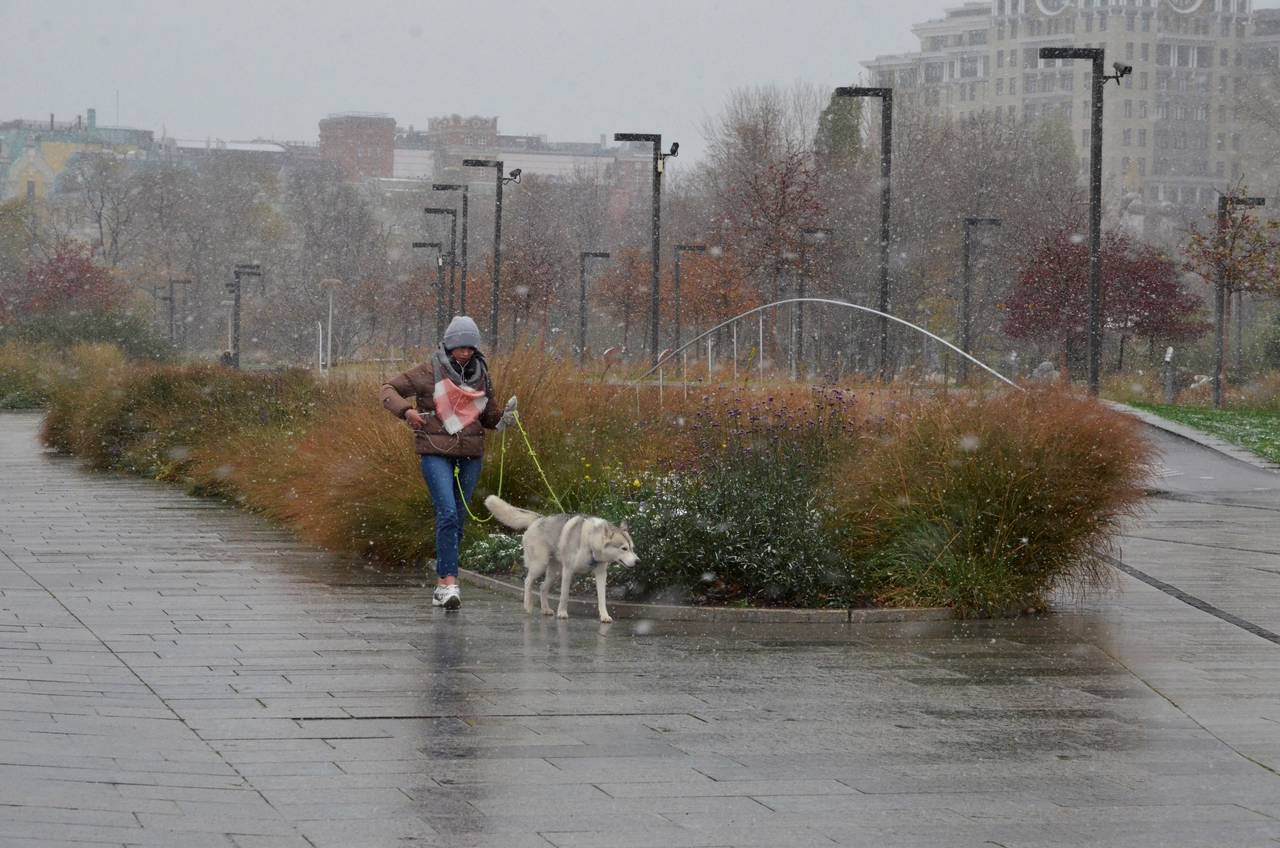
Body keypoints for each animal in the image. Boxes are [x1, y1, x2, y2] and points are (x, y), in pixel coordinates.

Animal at [481, 494, 637, 627]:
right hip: (540, 566)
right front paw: (562, 613)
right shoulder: (568, 570)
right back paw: (528, 606)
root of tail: (538, 519)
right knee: (527, 582)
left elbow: (602, 598)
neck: (590, 543)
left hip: (554, 572)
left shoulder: (600, 574)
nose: (638, 561)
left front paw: (604, 616)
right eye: (624, 548)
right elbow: (564, 595)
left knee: (542, 587)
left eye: (632, 548)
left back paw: (545, 609)